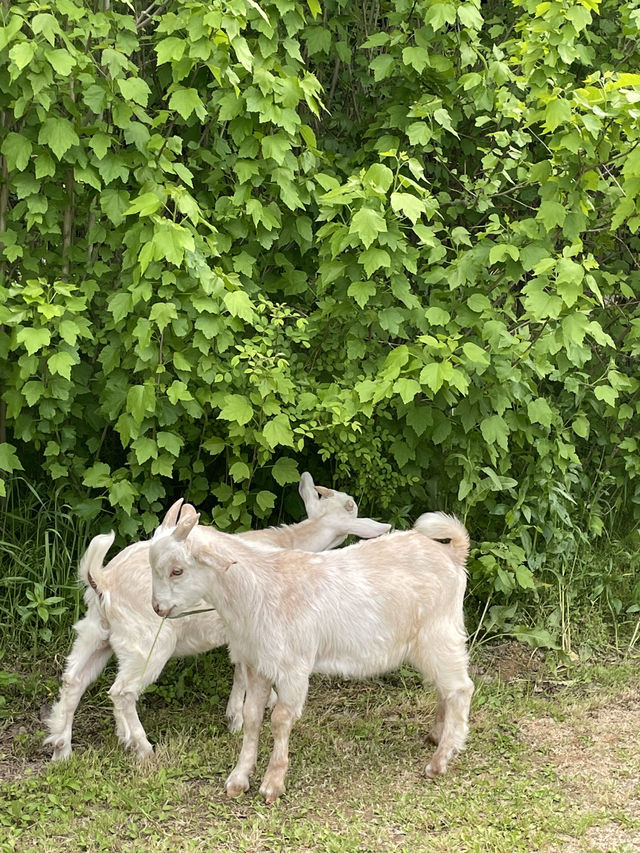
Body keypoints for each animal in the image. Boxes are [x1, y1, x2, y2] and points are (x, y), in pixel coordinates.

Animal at [46, 472, 390, 760]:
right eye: (350, 507)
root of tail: (103, 580)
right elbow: (244, 674)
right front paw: (240, 716)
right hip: (147, 643)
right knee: (121, 691)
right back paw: (142, 747)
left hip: (96, 632)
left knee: (73, 680)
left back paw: (63, 749)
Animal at [149, 502, 470, 804]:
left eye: (177, 570)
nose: (157, 608)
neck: (255, 591)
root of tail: (452, 553)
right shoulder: (256, 663)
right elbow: (252, 716)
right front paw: (238, 779)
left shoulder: (293, 667)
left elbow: (280, 719)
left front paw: (272, 784)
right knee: (444, 688)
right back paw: (436, 737)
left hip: (440, 633)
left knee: (461, 689)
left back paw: (440, 761)